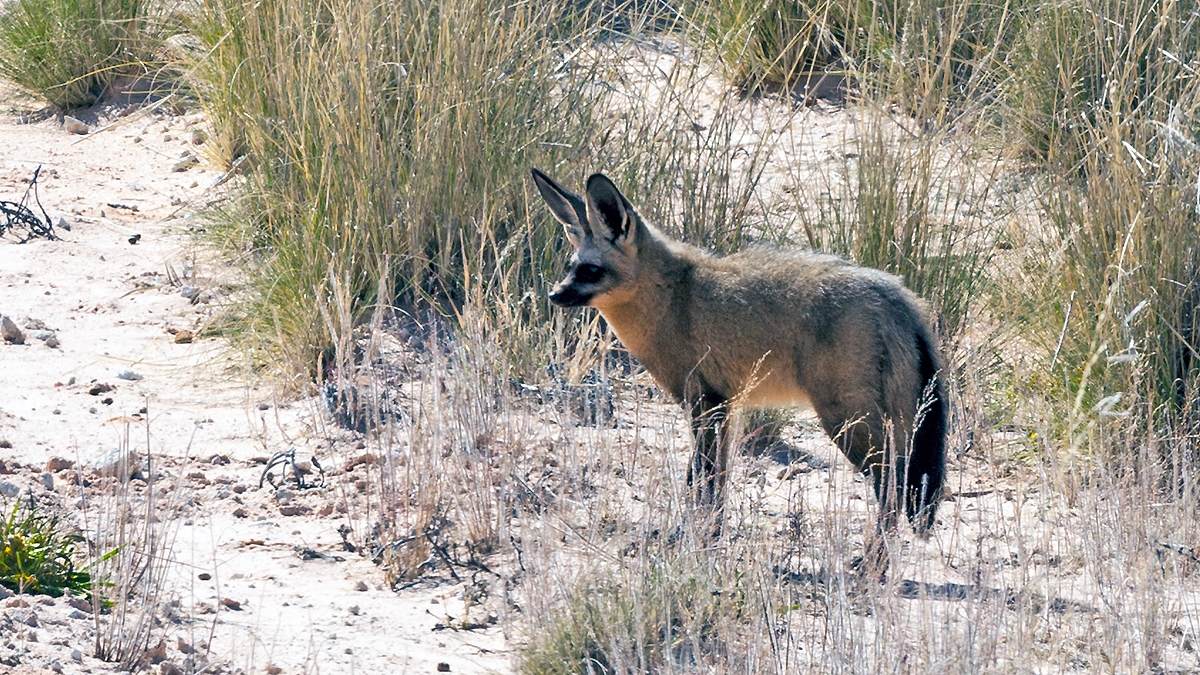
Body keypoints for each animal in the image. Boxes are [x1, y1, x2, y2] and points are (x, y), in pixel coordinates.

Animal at [530, 168, 947, 546]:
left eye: (591, 270)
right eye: (571, 267)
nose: (554, 295)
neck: (672, 297)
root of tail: (895, 292)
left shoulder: (703, 404)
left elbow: (699, 480)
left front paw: (688, 537)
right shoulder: (724, 407)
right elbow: (717, 481)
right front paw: (710, 535)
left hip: (846, 422)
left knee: (891, 485)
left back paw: (871, 567)